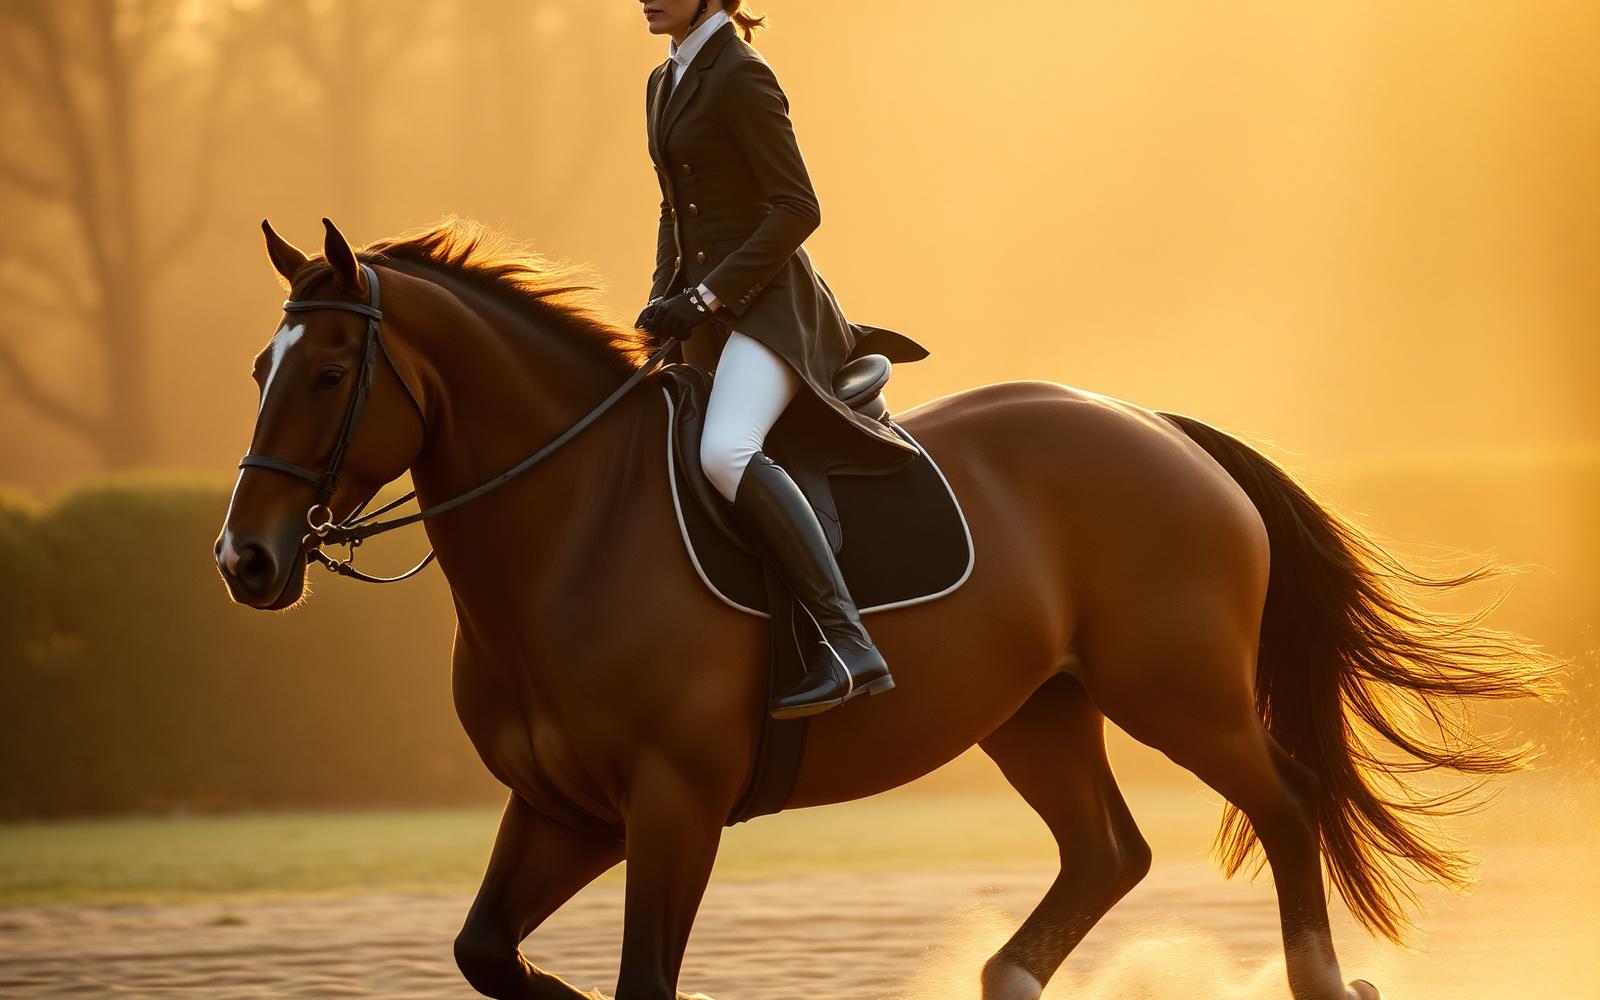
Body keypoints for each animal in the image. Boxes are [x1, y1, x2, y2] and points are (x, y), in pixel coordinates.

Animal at [215, 216, 1559, 1000]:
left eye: (326, 373)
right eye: (259, 367)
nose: (245, 561)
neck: (572, 531)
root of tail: (1153, 425)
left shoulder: (672, 801)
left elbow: (638, 980)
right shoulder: (565, 806)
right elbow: (487, 952)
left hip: (1176, 694)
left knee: (1283, 803)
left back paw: (1324, 981)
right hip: (1037, 710)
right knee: (1108, 850)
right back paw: (1008, 976)